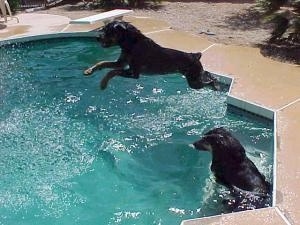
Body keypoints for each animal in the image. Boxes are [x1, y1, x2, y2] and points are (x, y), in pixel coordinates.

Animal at [83, 20, 219, 90]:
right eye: (104, 28)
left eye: (108, 30)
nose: (97, 38)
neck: (131, 44)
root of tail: (195, 55)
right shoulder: (121, 63)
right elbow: (103, 63)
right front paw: (89, 70)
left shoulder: (133, 73)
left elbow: (112, 72)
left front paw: (103, 83)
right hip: (192, 79)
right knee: (206, 75)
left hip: (194, 81)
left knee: (208, 80)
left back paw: (215, 84)